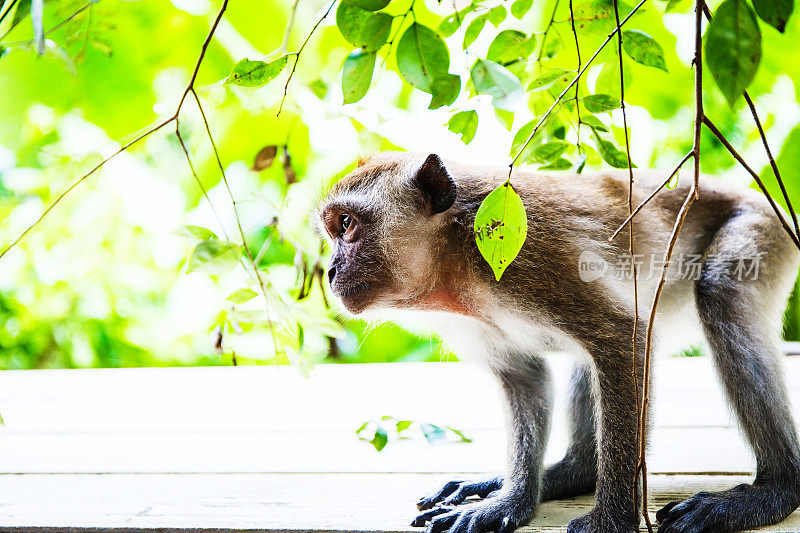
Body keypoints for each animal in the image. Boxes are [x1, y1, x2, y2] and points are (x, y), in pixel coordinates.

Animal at [318, 152, 800, 532]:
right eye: (334, 229)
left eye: (348, 224)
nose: (330, 271)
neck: (454, 261)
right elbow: (524, 377)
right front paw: (512, 500)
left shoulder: (528, 257)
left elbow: (623, 337)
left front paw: (612, 521)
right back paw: (570, 474)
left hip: (760, 228)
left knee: (721, 295)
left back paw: (774, 488)